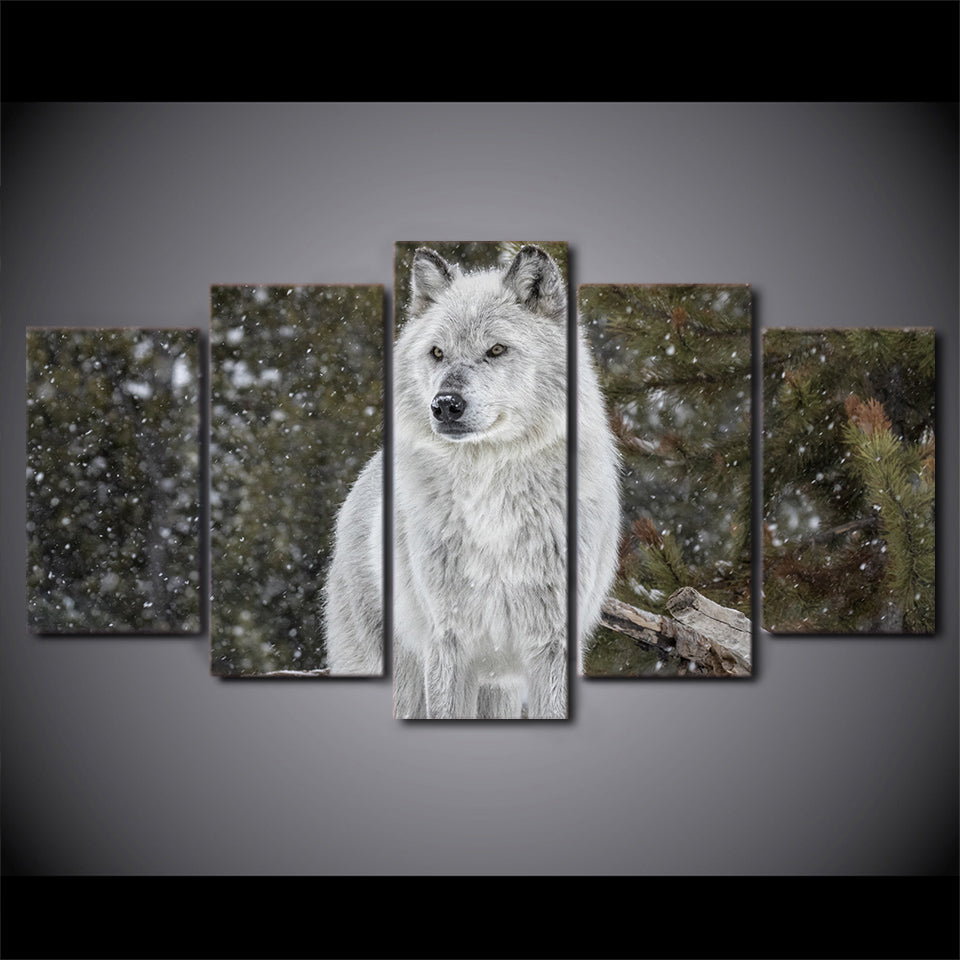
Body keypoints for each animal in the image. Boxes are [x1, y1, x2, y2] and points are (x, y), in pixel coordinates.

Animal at [322, 244, 620, 718]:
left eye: (496, 349)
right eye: (437, 353)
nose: (445, 404)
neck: (491, 496)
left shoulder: (553, 644)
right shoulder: (448, 641)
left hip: (498, 689)